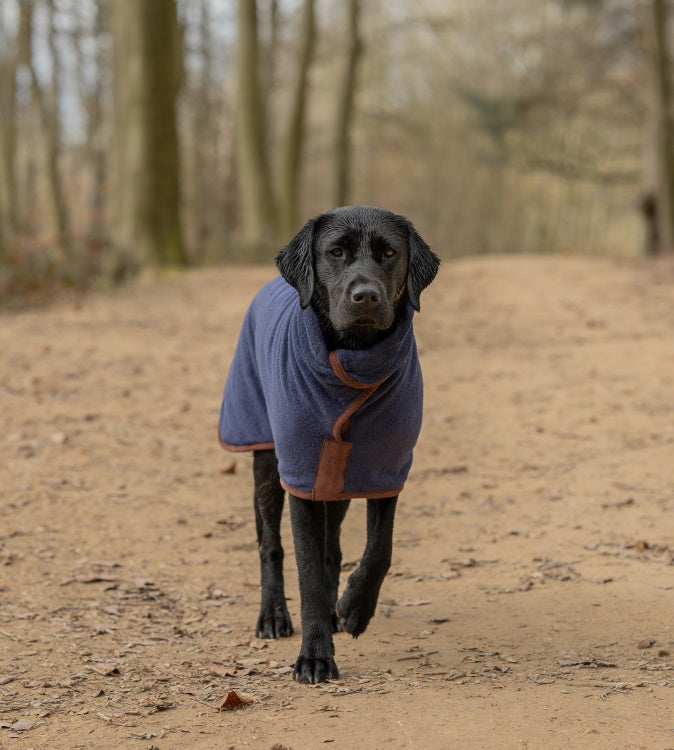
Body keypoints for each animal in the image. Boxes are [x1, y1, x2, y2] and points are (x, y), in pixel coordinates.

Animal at [218, 207, 438, 688]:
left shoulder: (385, 468)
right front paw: (315, 656)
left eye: (389, 253)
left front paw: (355, 608)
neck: (354, 360)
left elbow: (379, 551)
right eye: (336, 252)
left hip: (339, 480)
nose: (366, 296)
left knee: (333, 545)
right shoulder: (300, 473)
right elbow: (306, 572)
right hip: (267, 462)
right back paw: (273, 615)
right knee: (271, 545)